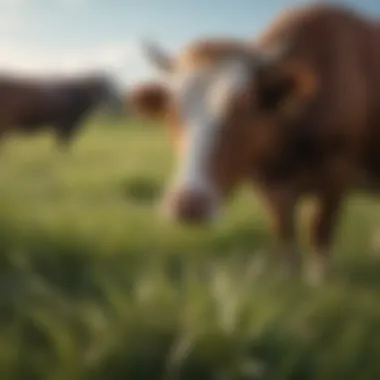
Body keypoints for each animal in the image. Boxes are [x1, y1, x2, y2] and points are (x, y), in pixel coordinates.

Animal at [127, 2, 380, 282]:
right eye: (172, 111)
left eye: (244, 105)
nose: (188, 205)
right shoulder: (269, 185)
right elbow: (284, 232)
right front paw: (287, 277)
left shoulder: (336, 175)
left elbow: (319, 231)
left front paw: (318, 280)